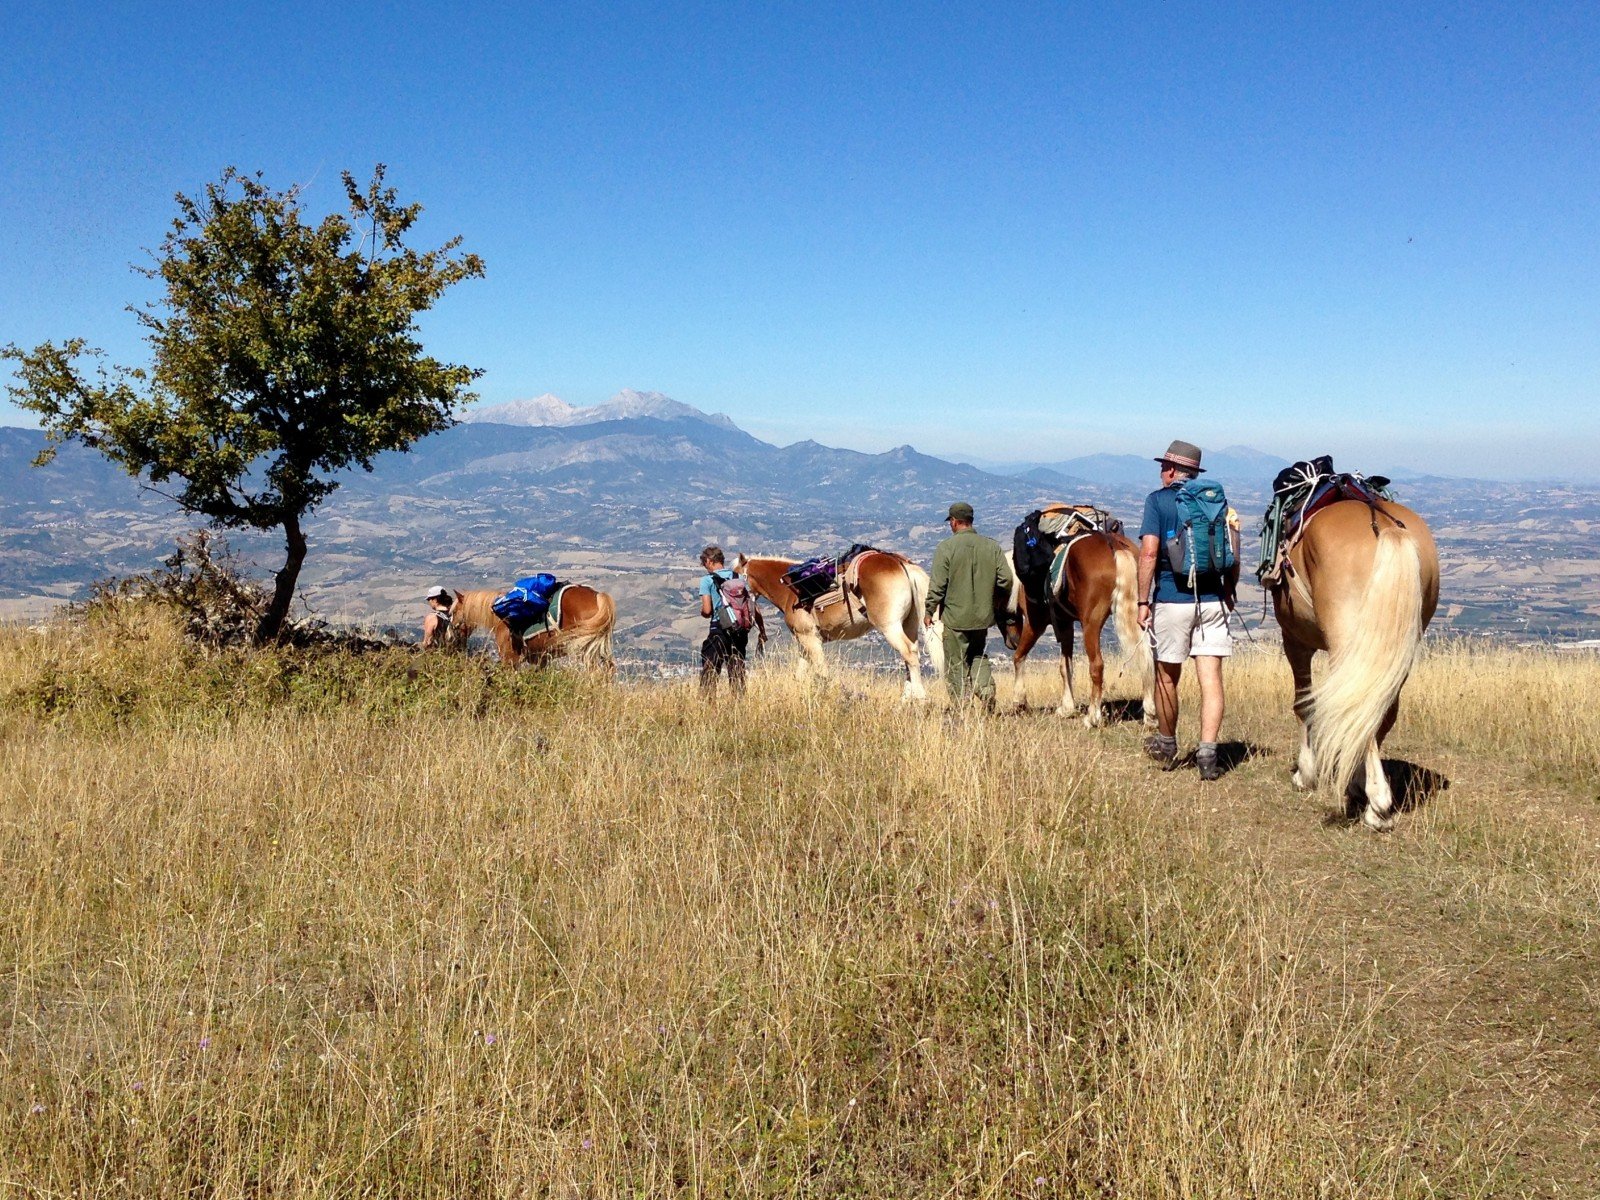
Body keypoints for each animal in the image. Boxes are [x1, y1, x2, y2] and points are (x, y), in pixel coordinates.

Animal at [448, 588, 614, 672]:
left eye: (453, 612)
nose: (450, 637)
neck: (501, 617)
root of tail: (599, 596)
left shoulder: (510, 659)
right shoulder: (543, 659)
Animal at [736, 553, 947, 704]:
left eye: (734, 575)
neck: (791, 591)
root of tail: (902, 564)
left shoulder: (809, 638)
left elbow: (821, 670)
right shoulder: (804, 641)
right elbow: (801, 672)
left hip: (890, 627)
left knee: (909, 653)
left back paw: (919, 696)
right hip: (908, 625)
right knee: (910, 656)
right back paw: (906, 697)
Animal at [998, 531, 1152, 729]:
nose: (1012, 641)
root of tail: (1114, 545)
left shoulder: (1036, 624)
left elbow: (1018, 657)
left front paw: (1019, 700)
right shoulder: (1065, 624)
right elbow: (1065, 666)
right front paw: (1066, 707)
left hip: (1090, 624)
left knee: (1097, 666)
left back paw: (1092, 717)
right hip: (1139, 612)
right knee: (1146, 658)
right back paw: (1151, 714)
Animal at [1267, 502, 1446, 832]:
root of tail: (1384, 527)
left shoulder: (1294, 640)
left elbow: (1304, 704)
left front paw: (1306, 774)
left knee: (1354, 707)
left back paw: (1377, 805)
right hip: (1398, 648)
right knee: (1377, 710)